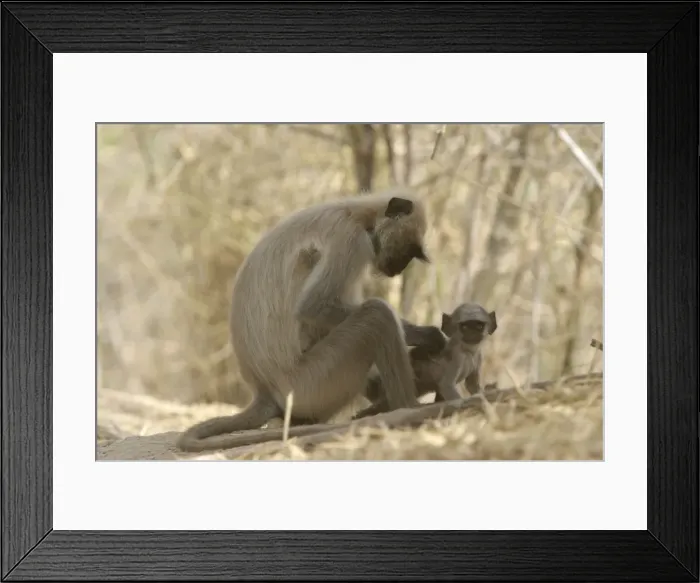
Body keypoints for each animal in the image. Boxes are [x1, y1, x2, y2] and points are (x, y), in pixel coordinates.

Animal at [176, 188, 447, 452]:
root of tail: (264, 390)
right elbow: (314, 307)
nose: (399, 268)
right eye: (407, 251)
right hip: (311, 384)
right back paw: (409, 408)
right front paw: (428, 336)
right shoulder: (350, 239)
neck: (358, 214)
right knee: (376, 314)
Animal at [353, 302, 498, 420]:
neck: (468, 353)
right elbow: (446, 385)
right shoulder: (457, 358)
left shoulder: (478, 357)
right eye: (464, 327)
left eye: (479, 325)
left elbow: (472, 386)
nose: (472, 333)